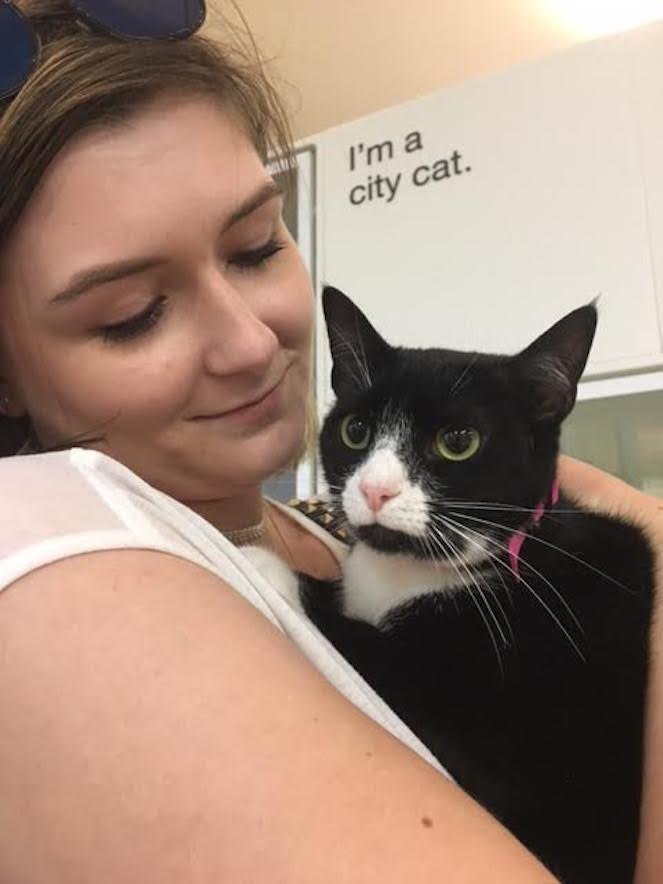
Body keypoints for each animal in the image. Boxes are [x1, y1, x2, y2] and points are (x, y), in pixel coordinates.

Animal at [248, 286, 652, 880]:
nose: (374, 490)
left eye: (458, 442)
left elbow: (368, 645)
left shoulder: (494, 732)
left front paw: (266, 563)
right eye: (356, 431)